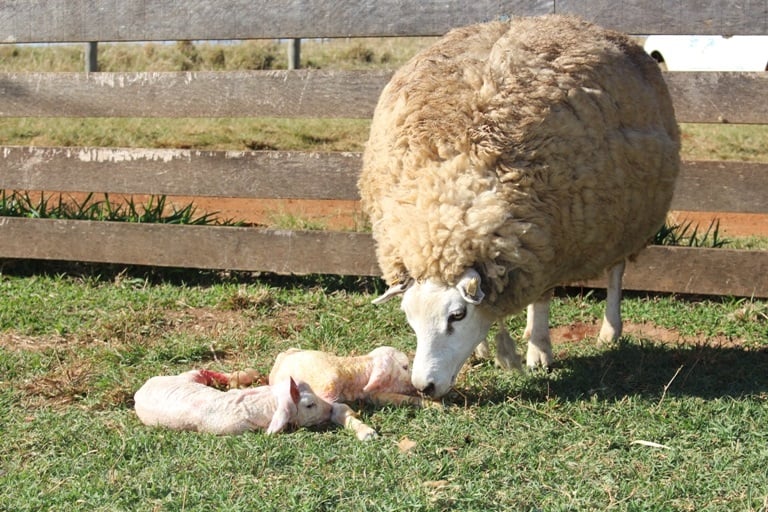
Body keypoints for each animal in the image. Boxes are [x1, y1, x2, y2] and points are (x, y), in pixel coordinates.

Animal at [356, 13, 680, 400]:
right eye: (410, 318)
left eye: (457, 316)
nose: (425, 387)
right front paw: (486, 349)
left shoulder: (550, 242)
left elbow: (542, 300)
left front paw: (539, 351)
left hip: (625, 216)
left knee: (616, 271)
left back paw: (609, 331)